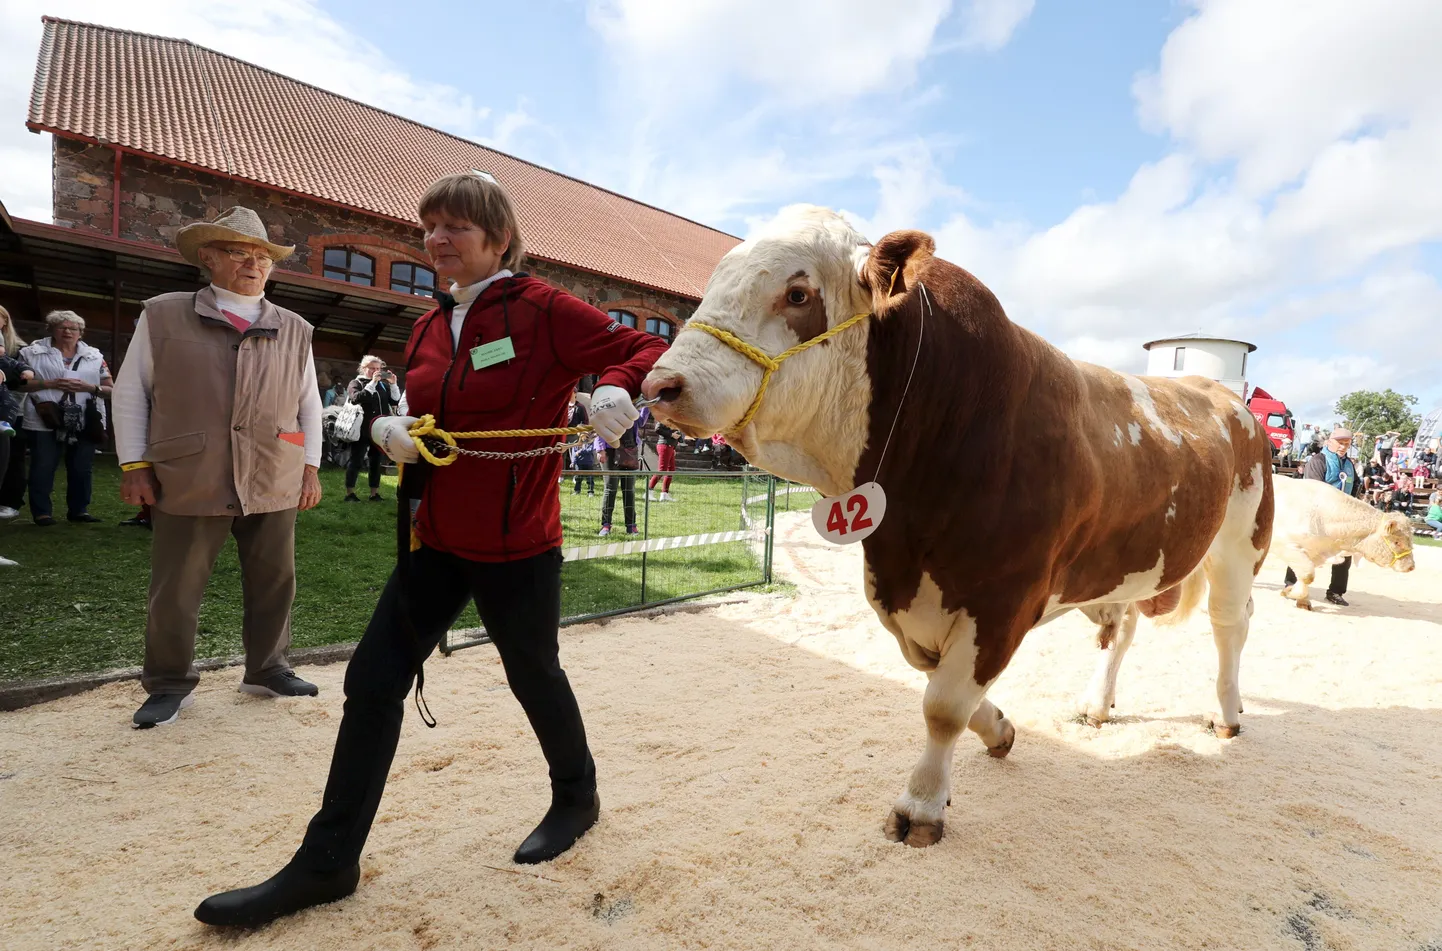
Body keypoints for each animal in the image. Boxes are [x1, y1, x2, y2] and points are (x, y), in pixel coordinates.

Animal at [643, 207, 1274, 847]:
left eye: (798, 294)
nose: (658, 385)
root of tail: (1225, 397)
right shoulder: (909, 600)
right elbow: (948, 691)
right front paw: (999, 729)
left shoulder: (1001, 600)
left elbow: (943, 706)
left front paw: (921, 805)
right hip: (1121, 562)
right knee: (1118, 629)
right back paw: (1097, 705)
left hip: (1240, 542)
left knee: (1230, 624)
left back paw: (1225, 714)